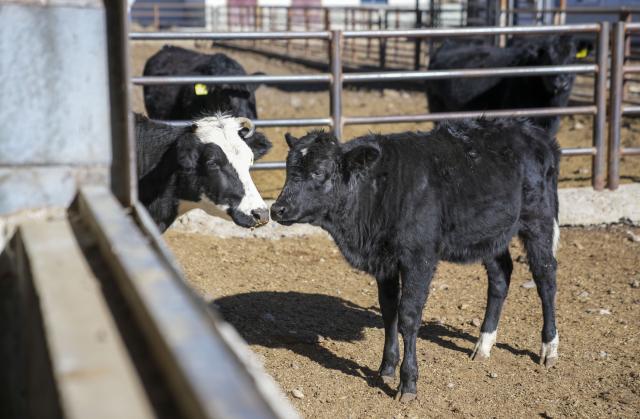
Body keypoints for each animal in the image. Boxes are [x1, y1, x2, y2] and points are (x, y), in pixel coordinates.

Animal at [271, 119, 560, 401]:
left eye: (319, 172)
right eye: (287, 169)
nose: (277, 209)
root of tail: (531, 130)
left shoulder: (419, 258)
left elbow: (408, 316)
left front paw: (408, 382)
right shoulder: (384, 261)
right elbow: (389, 311)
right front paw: (386, 368)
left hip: (538, 219)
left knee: (545, 278)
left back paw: (549, 348)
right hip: (490, 233)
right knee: (500, 276)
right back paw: (484, 344)